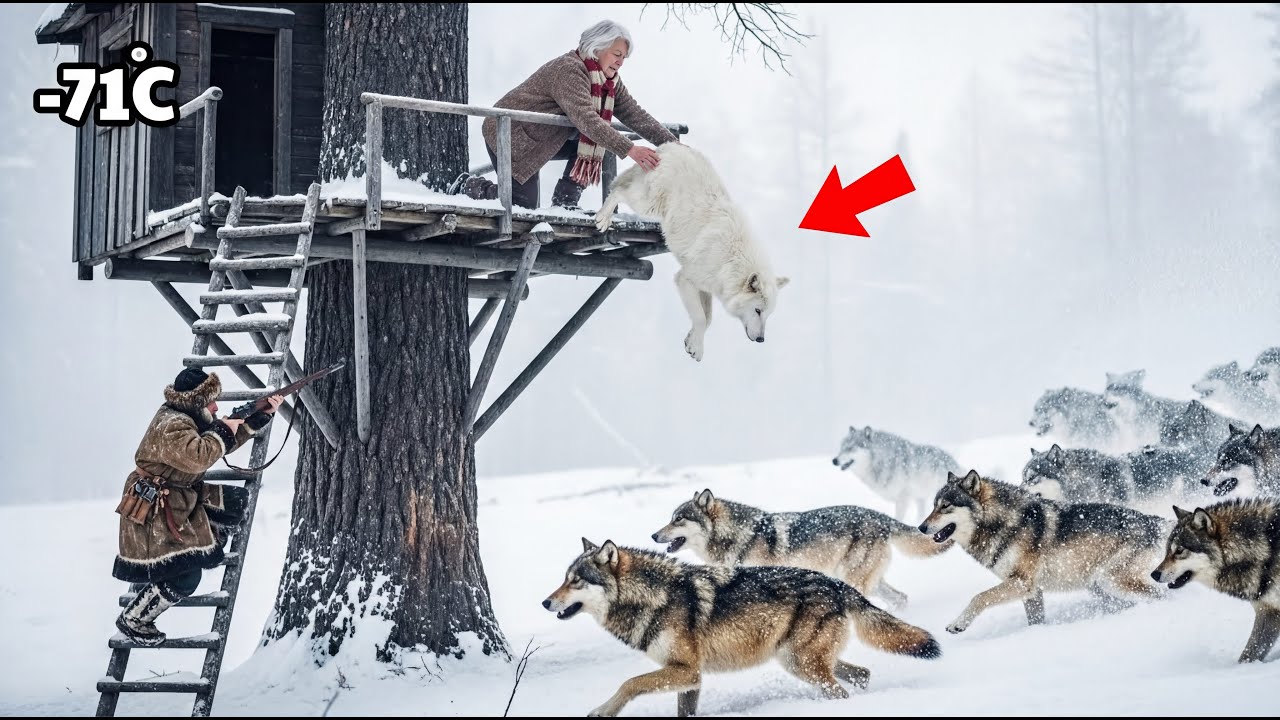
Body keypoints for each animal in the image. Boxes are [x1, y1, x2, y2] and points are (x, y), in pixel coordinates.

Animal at [544, 538, 942, 717]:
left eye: (576, 581)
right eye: (563, 579)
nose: (545, 603)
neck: (654, 597)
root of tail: (838, 584)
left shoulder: (685, 670)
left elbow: (629, 682)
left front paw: (602, 711)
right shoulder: (691, 677)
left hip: (801, 663)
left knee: (843, 688)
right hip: (797, 660)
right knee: (862, 674)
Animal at [594, 143, 789, 362]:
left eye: (768, 314)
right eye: (757, 310)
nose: (761, 340)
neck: (731, 260)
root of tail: (670, 147)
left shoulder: (706, 287)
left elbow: (708, 318)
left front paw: (692, 341)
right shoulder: (685, 279)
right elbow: (701, 318)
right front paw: (697, 347)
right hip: (648, 205)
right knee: (618, 191)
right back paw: (603, 218)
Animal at [650, 489, 953, 611]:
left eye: (678, 519)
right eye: (671, 517)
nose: (653, 535)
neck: (738, 537)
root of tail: (878, 515)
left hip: (854, 578)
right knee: (900, 598)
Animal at [833, 425, 963, 522]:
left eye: (850, 448)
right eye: (841, 448)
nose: (834, 460)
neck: (881, 462)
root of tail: (953, 460)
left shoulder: (903, 498)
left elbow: (898, 518)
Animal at [918, 470, 1170, 634]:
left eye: (945, 506)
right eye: (933, 506)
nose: (920, 527)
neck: (1000, 523)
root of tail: (1151, 520)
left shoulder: (1022, 582)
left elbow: (979, 597)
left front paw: (958, 623)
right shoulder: (1032, 591)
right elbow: (1035, 620)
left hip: (1111, 580)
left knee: (1162, 596)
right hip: (1101, 586)